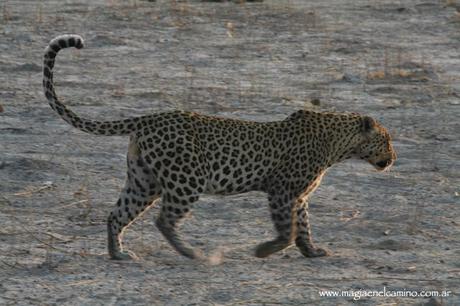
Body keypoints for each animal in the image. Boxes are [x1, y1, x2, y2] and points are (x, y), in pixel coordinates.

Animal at [42, 35, 396, 260]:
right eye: (387, 140)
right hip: (186, 180)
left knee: (117, 214)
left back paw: (118, 254)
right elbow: (288, 230)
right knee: (164, 221)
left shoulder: (299, 197)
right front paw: (264, 250)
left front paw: (313, 252)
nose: (393, 158)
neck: (338, 143)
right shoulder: (283, 192)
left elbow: (304, 228)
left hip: (144, 181)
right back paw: (192, 253)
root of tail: (148, 119)